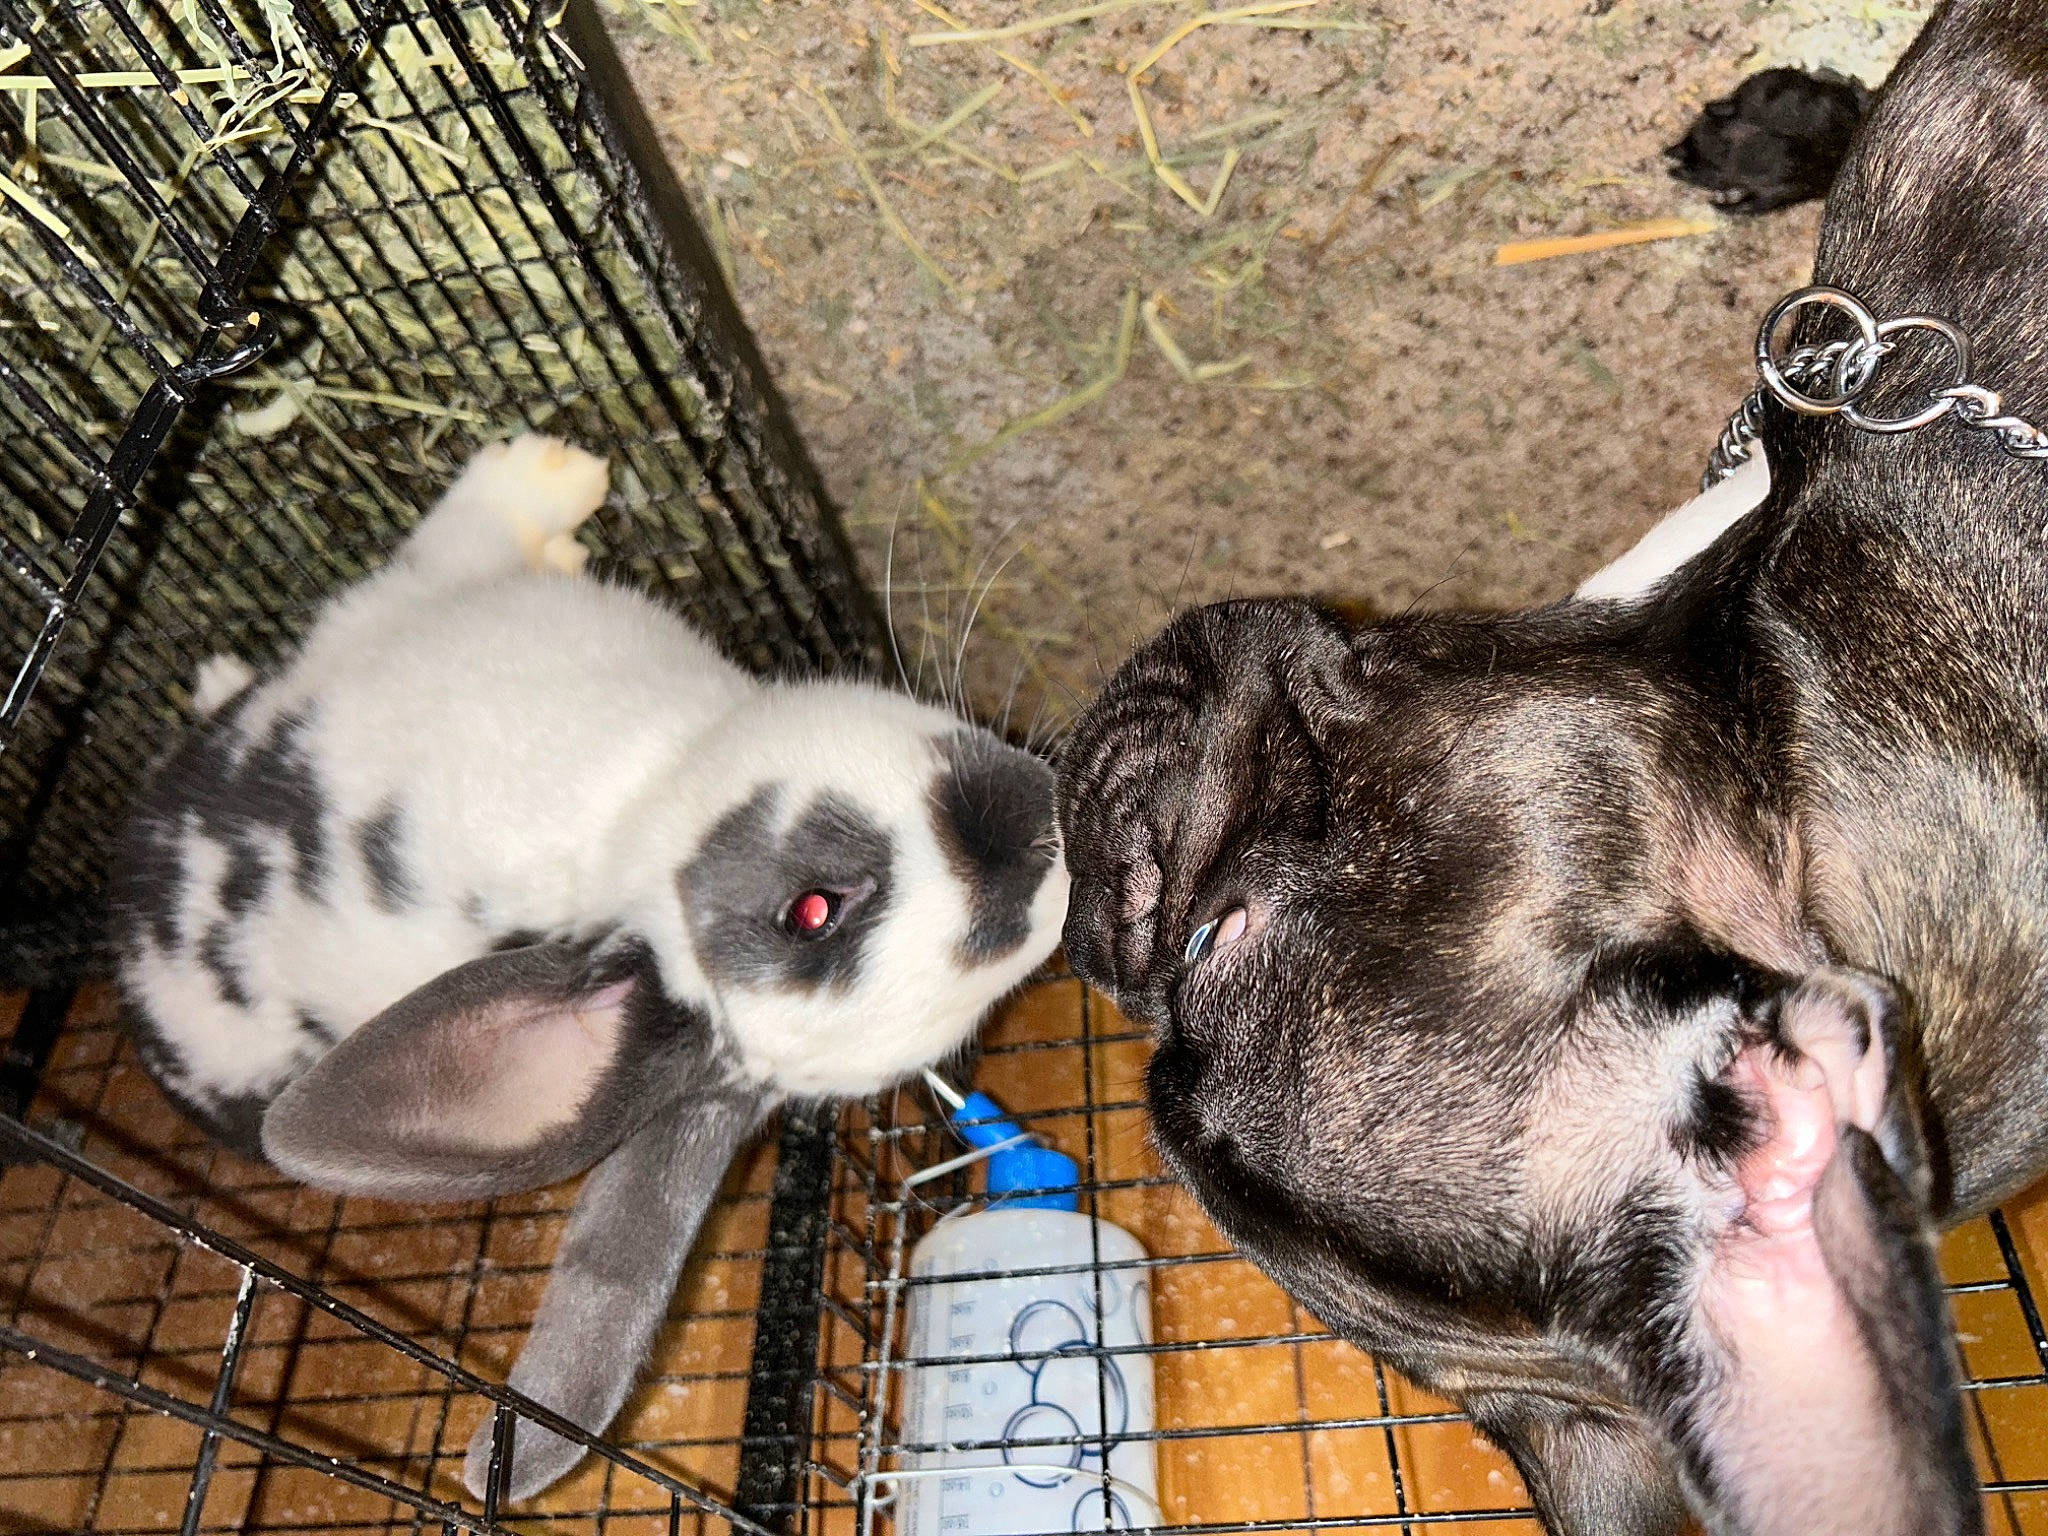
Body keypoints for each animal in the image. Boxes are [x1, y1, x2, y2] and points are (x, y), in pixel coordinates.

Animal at [108, 433, 1070, 1503]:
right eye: (813, 910)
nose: (1045, 844)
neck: (645, 789)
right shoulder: (410, 615)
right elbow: (454, 536)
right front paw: (557, 471)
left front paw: (549, 474)